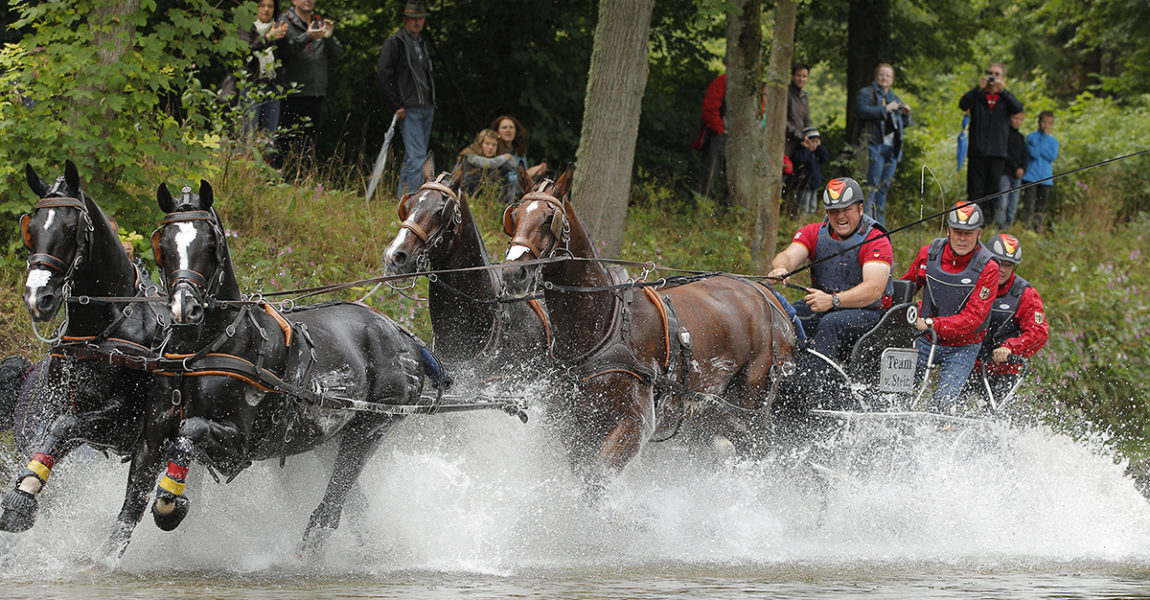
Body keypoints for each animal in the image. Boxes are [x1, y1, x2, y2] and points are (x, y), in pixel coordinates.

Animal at [1, 160, 170, 544]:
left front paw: (22, 499)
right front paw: (25, 491)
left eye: (71, 228)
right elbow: (49, 436)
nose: (38, 298)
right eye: (31, 228)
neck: (101, 331)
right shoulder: (52, 405)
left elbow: (65, 427)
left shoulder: (121, 423)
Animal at [148, 179, 443, 554]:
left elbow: (191, 431)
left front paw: (167, 506)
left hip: (370, 428)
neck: (218, 342)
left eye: (210, 243)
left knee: (331, 505)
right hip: (330, 435)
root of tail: (407, 338)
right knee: (352, 506)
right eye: (164, 244)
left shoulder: (239, 448)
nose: (185, 308)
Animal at [503, 165, 800, 482]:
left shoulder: (634, 425)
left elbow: (597, 477)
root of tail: (769, 297)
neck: (604, 325)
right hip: (711, 412)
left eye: (550, 219)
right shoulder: (577, 428)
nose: (513, 273)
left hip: (752, 403)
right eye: (515, 216)